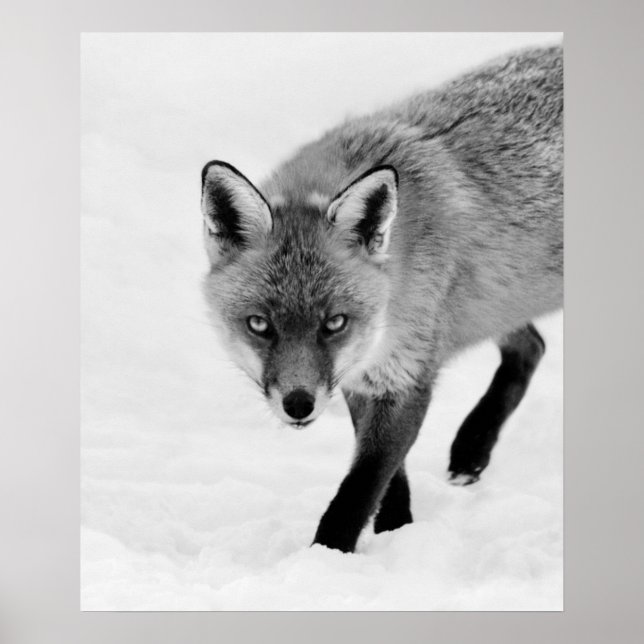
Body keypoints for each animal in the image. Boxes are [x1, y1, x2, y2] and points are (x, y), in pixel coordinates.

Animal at [200, 45, 563, 553]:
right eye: (259, 325)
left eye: (334, 323)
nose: (299, 405)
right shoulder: (363, 375)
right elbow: (390, 476)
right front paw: (398, 529)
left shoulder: (407, 374)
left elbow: (361, 486)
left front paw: (328, 558)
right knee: (532, 346)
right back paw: (473, 448)